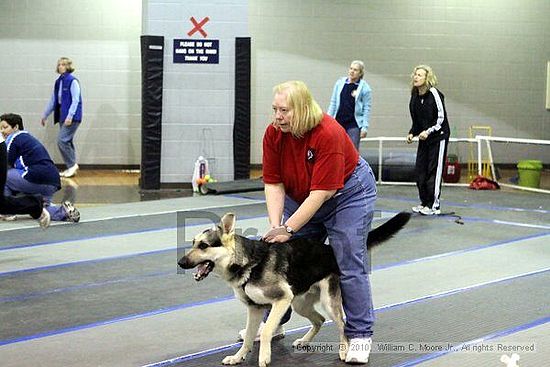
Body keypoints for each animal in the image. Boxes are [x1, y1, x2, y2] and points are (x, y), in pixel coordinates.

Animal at [179, 211, 412, 366]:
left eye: (203, 246)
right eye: (193, 243)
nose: (180, 263)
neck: (248, 264)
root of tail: (329, 250)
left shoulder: (281, 300)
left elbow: (266, 332)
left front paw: (264, 357)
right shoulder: (255, 308)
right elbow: (248, 338)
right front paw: (238, 357)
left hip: (327, 301)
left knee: (342, 325)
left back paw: (345, 351)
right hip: (300, 303)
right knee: (319, 320)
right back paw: (305, 340)